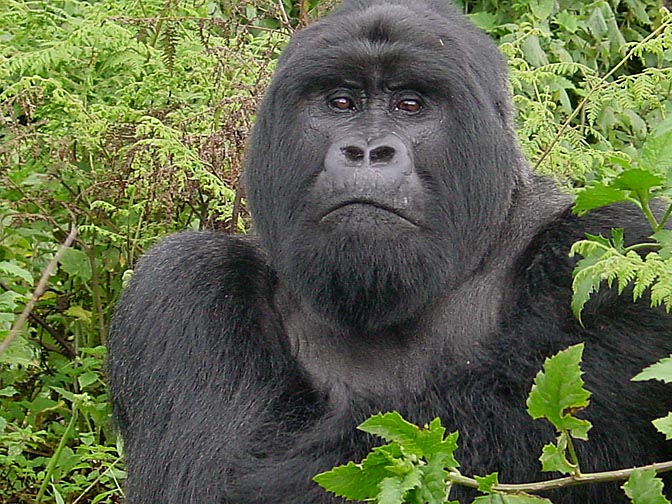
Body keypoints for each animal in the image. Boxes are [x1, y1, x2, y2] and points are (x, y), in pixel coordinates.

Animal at [107, 0, 672, 502]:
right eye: (341, 103)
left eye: (410, 105)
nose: (366, 150)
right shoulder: (182, 285)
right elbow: (217, 481)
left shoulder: (617, 243)